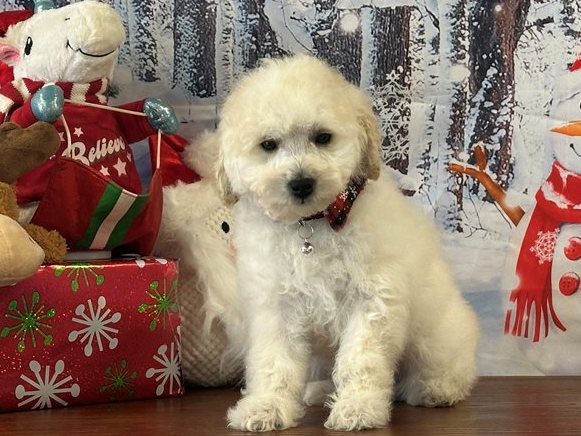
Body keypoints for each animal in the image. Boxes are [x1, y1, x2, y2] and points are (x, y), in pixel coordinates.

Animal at [213, 55, 479, 431]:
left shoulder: (373, 298)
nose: (301, 182)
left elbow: (361, 360)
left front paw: (359, 407)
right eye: (268, 145)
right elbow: (275, 361)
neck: (311, 224)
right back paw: (321, 390)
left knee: (445, 365)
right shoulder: (276, 305)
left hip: (438, 332)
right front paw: (267, 406)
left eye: (323, 137)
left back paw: (436, 387)